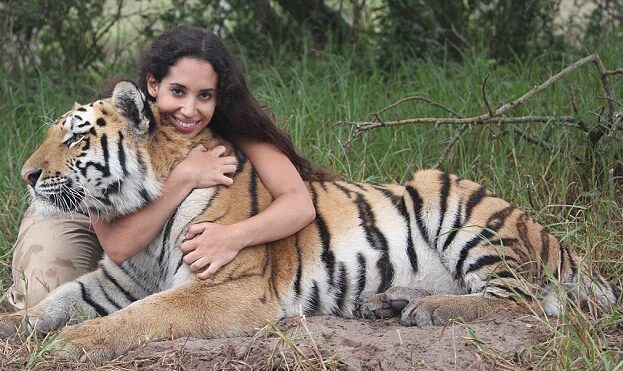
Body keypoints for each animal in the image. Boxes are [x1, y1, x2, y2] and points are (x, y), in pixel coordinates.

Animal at [1, 80, 620, 364]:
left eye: (75, 137)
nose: (26, 175)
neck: (143, 212)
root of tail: (556, 242)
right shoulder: (116, 280)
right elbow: (56, 301)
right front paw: (18, 326)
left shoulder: (227, 287)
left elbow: (139, 317)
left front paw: (70, 344)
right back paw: (391, 300)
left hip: (455, 201)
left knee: (523, 301)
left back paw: (430, 311)